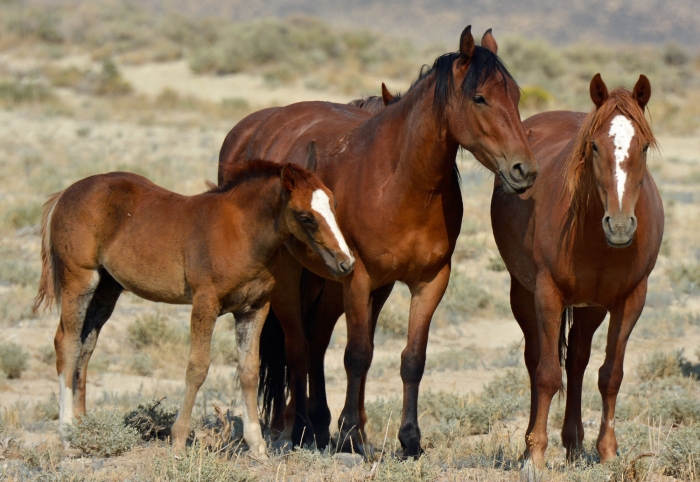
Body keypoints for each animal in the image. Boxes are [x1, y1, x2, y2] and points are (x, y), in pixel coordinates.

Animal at [32, 149, 352, 458]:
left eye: (334, 204)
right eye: (306, 216)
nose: (346, 263)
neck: (241, 232)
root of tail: (66, 193)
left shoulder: (254, 309)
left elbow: (249, 370)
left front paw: (257, 446)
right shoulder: (204, 304)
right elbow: (197, 368)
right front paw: (178, 440)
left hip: (108, 287)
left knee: (86, 345)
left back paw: (85, 428)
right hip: (79, 280)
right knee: (67, 343)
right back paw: (68, 435)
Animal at [216, 26, 540, 456]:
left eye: (517, 95)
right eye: (480, 97)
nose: (524, 170)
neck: (402, 182)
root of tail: (244, 132)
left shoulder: (427, 282)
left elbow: (412, 359)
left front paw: (409, 439)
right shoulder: (359, 278)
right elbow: (357, 354)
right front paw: (352, 434)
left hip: (328, 286)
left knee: (315, 342)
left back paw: (318, 425)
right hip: (291, 283)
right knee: (298, 347)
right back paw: (299, 428)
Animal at [492, 73, 660, 468]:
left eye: (644, 147)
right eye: (595, 147)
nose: (619, 225)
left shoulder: (631, 299)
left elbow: (611, 374)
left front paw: (608, 451)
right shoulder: (548, 294)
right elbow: (547, 374)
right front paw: (535, 456)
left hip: (591, 307)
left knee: (578, 362)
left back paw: (574, 444)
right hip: (523, 295)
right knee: (537, 359)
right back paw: (530, 445)